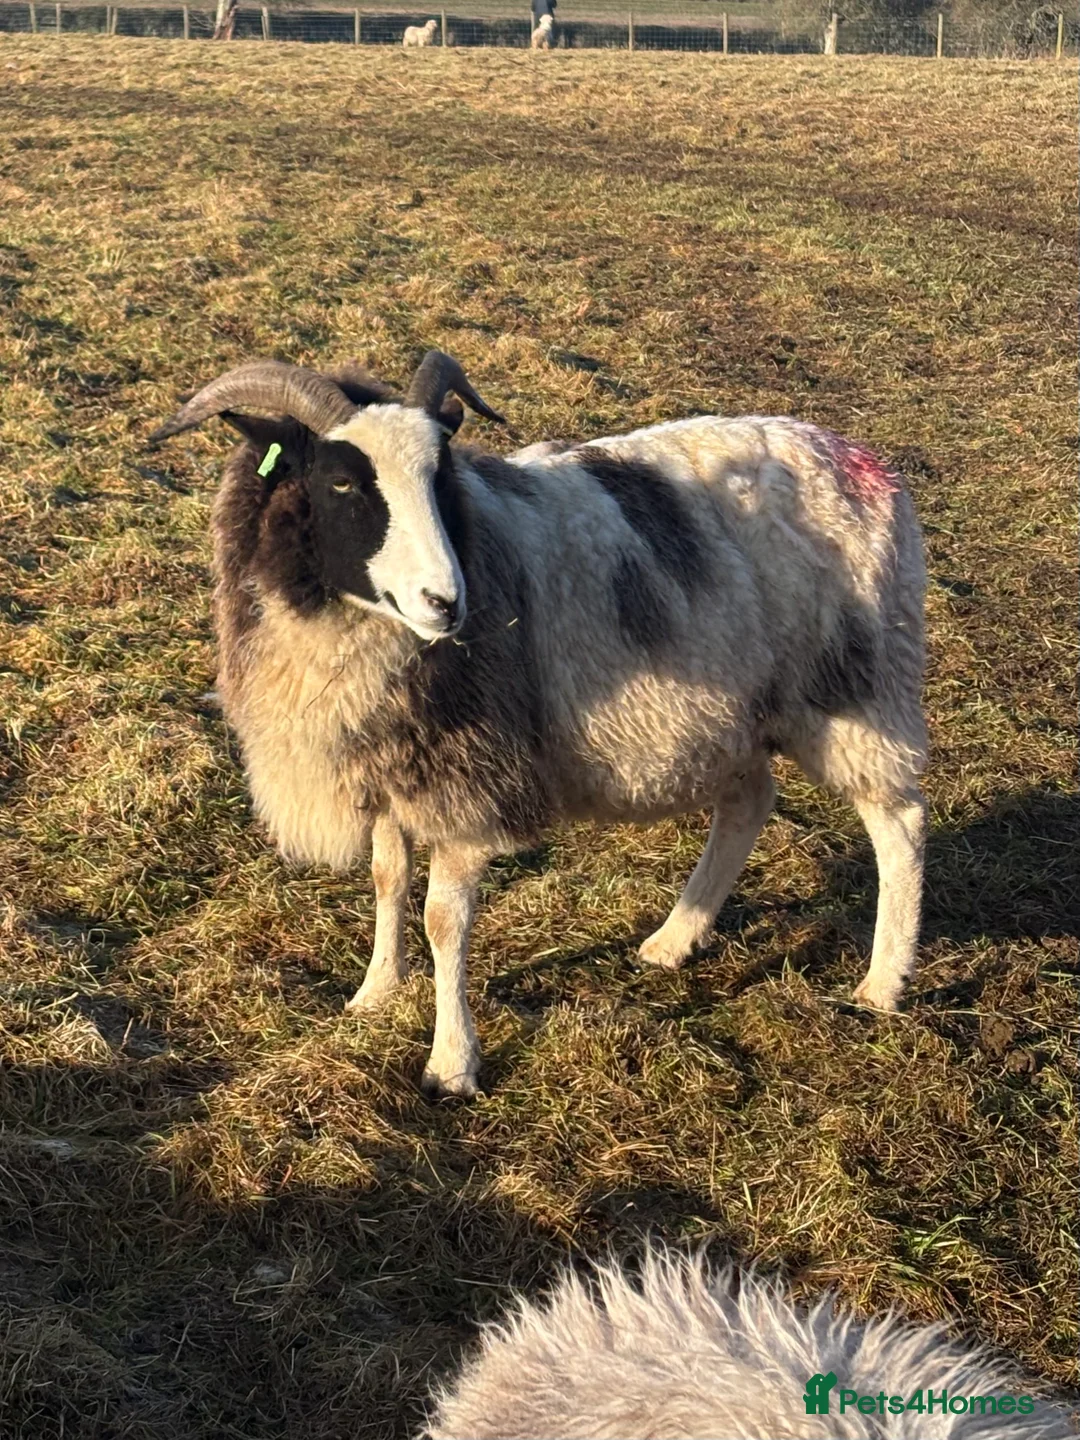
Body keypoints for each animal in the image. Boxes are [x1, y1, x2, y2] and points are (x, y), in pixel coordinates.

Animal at [149, 349, 928, 1099]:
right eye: (341, 483)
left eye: (442, 478)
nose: (446, 602)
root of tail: (863, 463)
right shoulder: (394, 763)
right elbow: (387, 880)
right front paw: (374, 995)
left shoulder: (471, 775)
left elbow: (443, 921)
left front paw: (451, 1064)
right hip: (738, 706)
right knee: (749, 803)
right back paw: (674, 939)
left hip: (856, 686)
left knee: (900, 826)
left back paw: (882, 984)